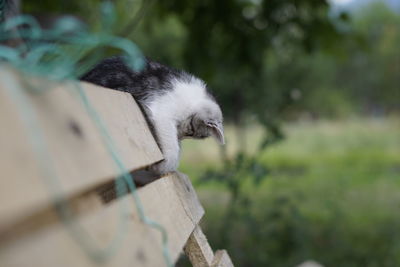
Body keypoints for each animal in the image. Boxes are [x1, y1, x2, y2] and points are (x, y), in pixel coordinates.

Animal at [80, 56, 225, 176]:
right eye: (191, 131)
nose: (181, 136)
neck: (194, 99)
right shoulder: (163, 111)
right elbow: (172, 146)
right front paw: (164, 166)